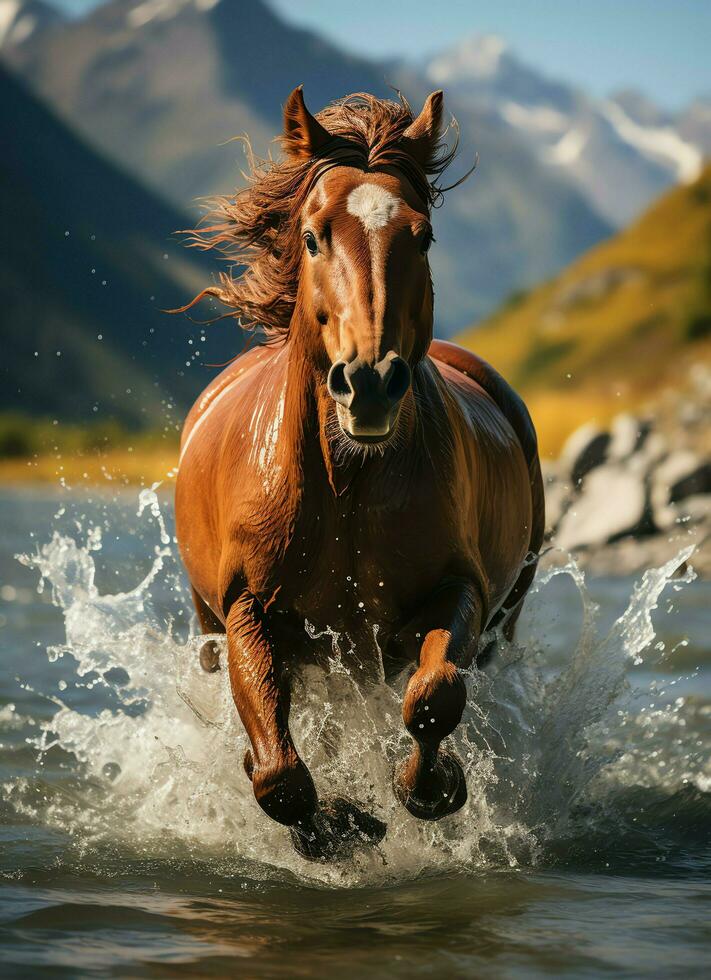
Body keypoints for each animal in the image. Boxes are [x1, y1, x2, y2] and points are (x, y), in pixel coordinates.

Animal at [174, 90, 544, 856]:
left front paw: (430, 789)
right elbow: (279, 774)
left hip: (498, 622)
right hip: (211, 627)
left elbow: (433, 698)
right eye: (314, 236)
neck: (345, 491)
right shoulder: (247, 609)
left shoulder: (459, 589)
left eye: (422, 236)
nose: (369, 383)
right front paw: (342, 824)